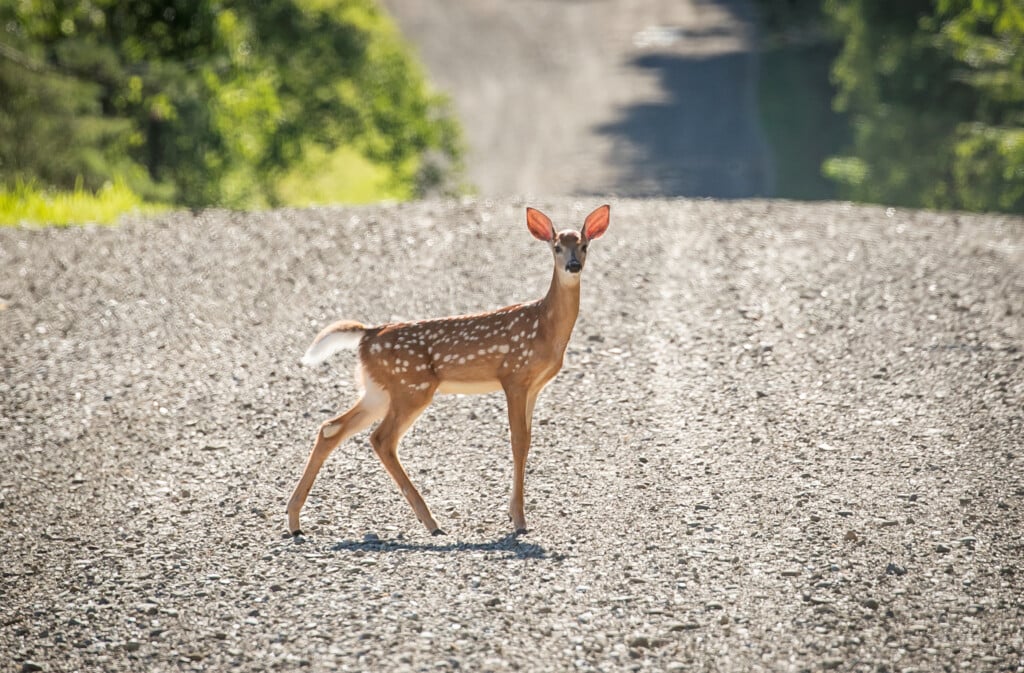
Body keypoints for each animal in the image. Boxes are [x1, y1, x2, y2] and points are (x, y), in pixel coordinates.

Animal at [287, 204, 610, 537]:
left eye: (584, 245)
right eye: (556, 247)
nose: (573, 265)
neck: (544, 326)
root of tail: (367, 334)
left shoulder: (534, 385)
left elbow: (528, 439)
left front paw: (513, 513)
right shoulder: (513, 376)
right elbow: (518, 441)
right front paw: (519, 520)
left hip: (378, 390)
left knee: (331, 428)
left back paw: (295, 521)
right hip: (411, 388)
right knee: (381, 439)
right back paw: (431, 522)